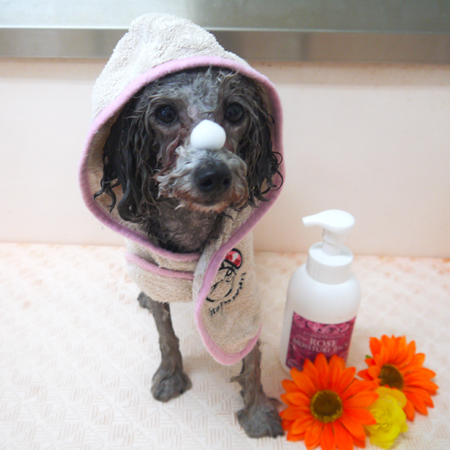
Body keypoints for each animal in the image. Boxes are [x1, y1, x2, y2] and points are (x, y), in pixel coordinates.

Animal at [93, 66, 284, 438]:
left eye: (235, 111)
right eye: (165, 113)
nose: (213, 174)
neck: (190, 225)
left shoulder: (241, 284)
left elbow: (250, 350)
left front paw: (257, 411)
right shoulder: (153, 267)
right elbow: (165, 333)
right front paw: (170, 377)